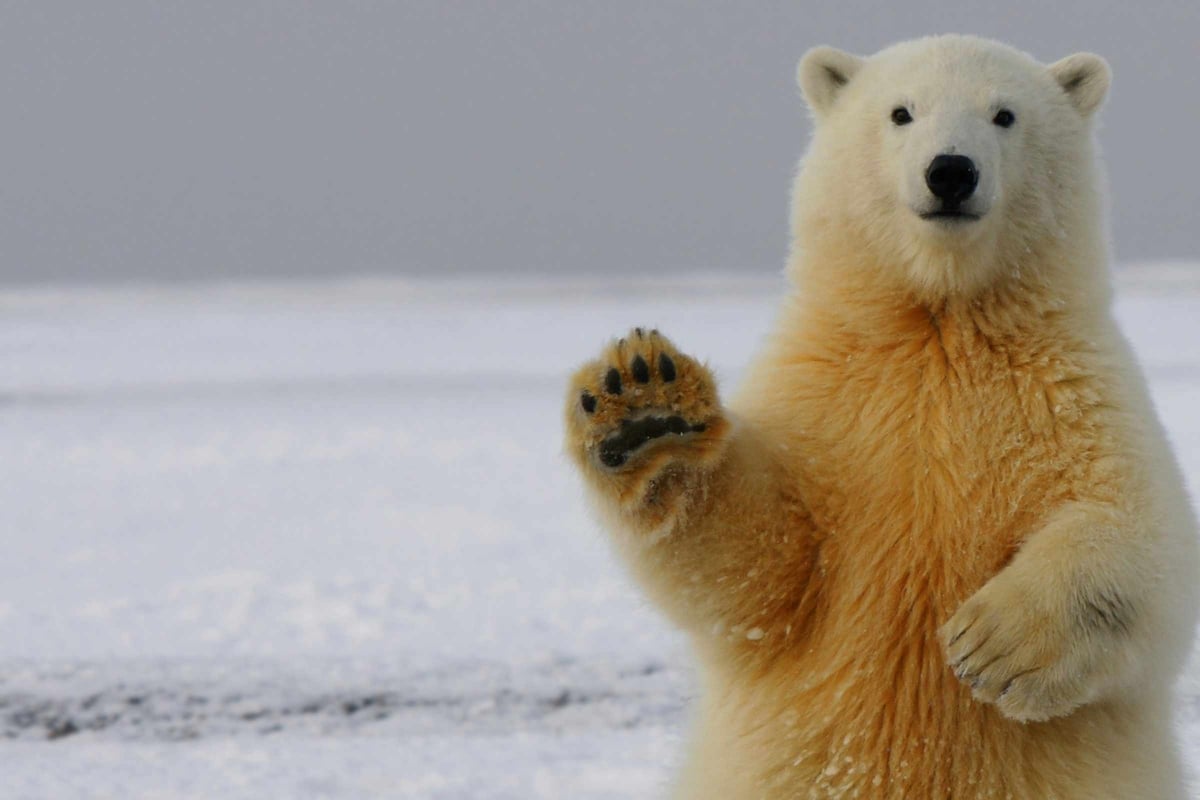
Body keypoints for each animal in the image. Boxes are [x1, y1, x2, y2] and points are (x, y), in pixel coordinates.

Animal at [563, 35, 1200, 799]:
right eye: (902, 112)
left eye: (1004, 114)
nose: (950, 171)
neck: (937, 326)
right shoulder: (826, 399)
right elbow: (758, 566)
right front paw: (644, 406)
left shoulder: (1072, 391)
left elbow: (1142, 533)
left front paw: (991, 646)